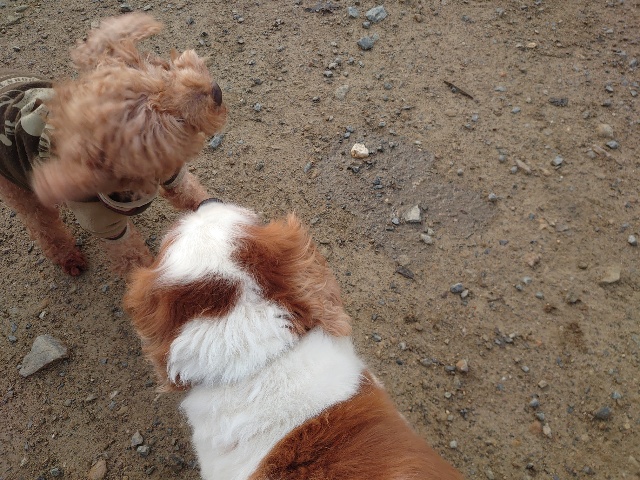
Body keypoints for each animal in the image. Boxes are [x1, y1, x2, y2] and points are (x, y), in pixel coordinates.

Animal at [0, 13, 226, 276]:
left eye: (163, 72)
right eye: (172, 121)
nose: (216, 91)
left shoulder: (174, 175)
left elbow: (194, 196)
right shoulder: (105, 224)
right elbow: (133, 259)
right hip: (15, 187)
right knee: (42, 225)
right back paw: (69, 258)